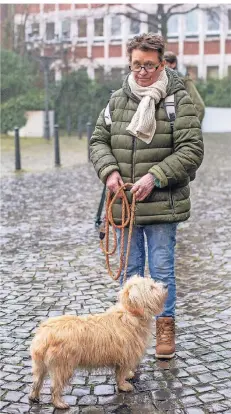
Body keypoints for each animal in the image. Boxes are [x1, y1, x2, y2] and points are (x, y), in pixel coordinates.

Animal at [28, 276, 167, 410]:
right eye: (151, 287)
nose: (166, 285)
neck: (130, 312)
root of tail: (45, 333)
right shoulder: (125, 356)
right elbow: (120, 374)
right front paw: (124, 385)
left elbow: (123, 372)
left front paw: (128, 375)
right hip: (63, 366)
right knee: (54, 387)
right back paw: (59, 403)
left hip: (39, 365)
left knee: (36, 382)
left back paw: (34, 396)